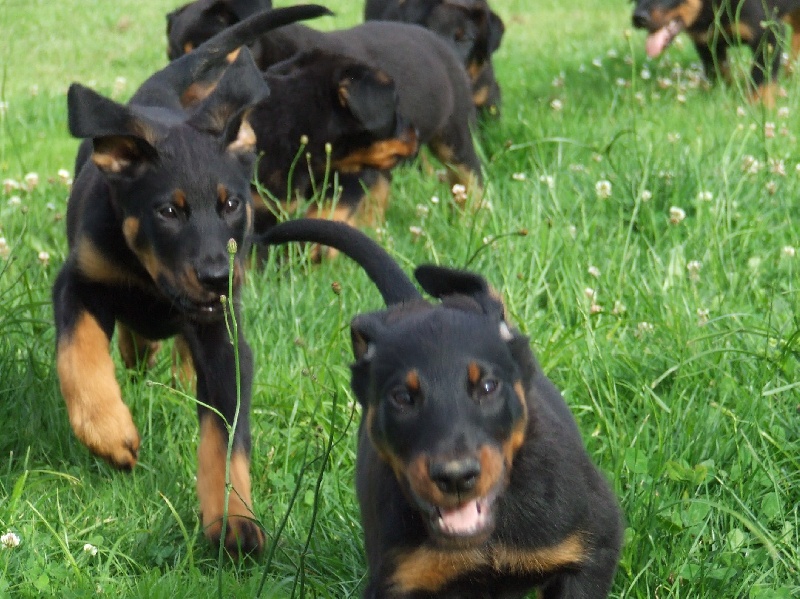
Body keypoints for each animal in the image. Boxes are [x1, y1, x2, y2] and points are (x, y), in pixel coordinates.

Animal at [632, 0, 800, 105]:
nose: (638, 18)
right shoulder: (707, 44)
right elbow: (720, 71)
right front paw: (725, 92)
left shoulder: (769, 34)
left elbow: (762, 78)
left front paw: (759, 108)